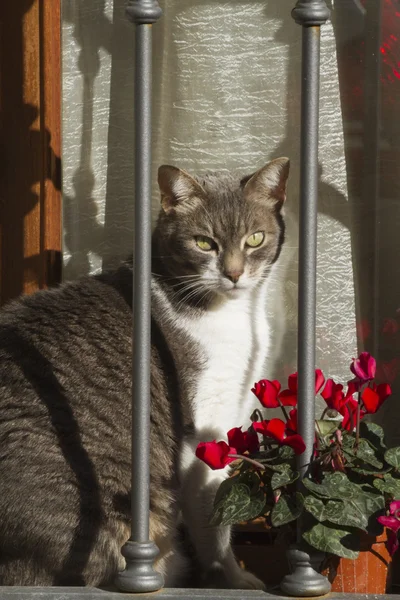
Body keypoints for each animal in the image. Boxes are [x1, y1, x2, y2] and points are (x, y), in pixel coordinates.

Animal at [0, 157, 290, 588]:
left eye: (255, 239)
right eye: (204, 243)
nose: (235, 274)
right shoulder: (204, 425)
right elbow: (214, 519)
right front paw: (236, 580)